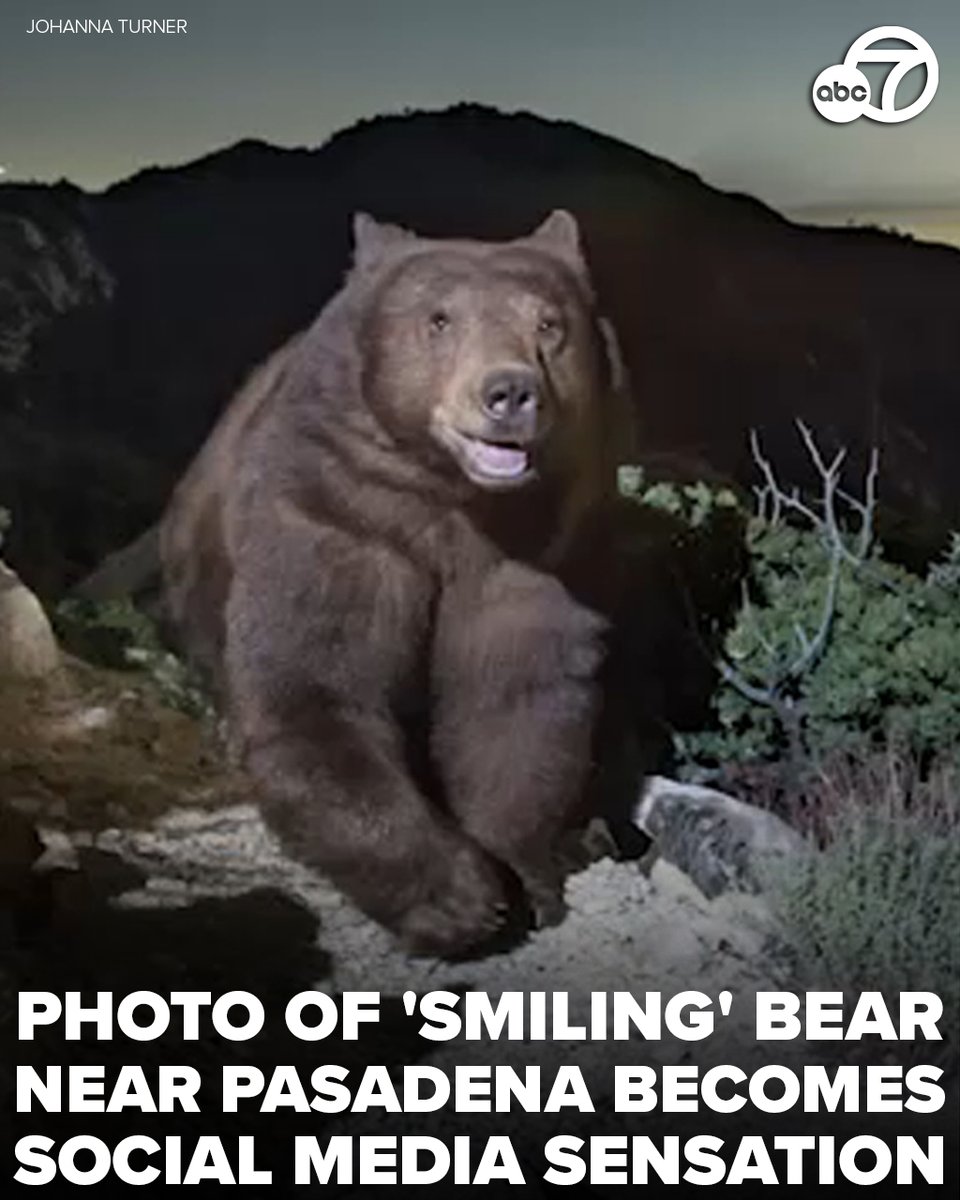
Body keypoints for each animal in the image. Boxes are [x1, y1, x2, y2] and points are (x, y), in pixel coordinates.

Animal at [160, 208, 633, 955]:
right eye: (439, 320)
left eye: (550, 324)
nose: (509, 392)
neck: (456, 504)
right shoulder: (338, 513)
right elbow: (317, 688)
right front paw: (460, 897)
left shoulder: (541, 554)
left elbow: (514, 700)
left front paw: (527, 873)